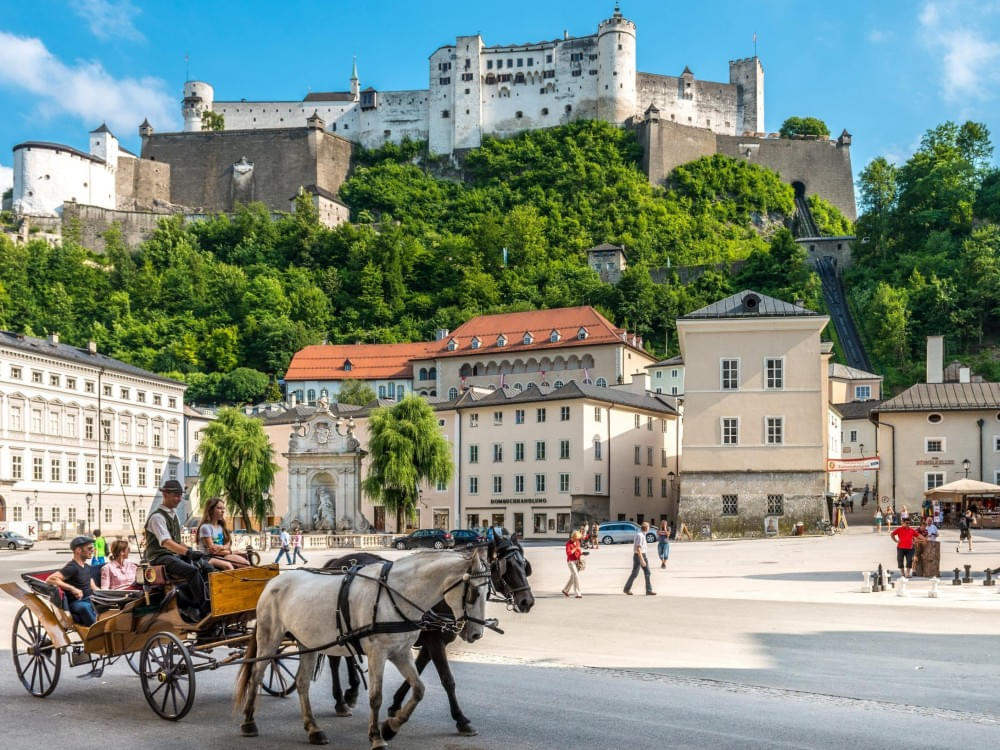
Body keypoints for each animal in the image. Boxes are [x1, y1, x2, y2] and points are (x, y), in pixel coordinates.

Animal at [232, 548, 486, 750]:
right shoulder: (378, 654)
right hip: (270, 638)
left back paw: (314, 728)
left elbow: (419, 689)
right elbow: (376, 697)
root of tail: (273, 583)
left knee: (303, 683)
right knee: (257, 675)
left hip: (308, 643)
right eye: (474, 593)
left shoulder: (401, 652)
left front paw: (391, 727)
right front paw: (376, 736)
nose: (476, 634)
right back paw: (249, 722)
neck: (397, 595)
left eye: (488, 592)